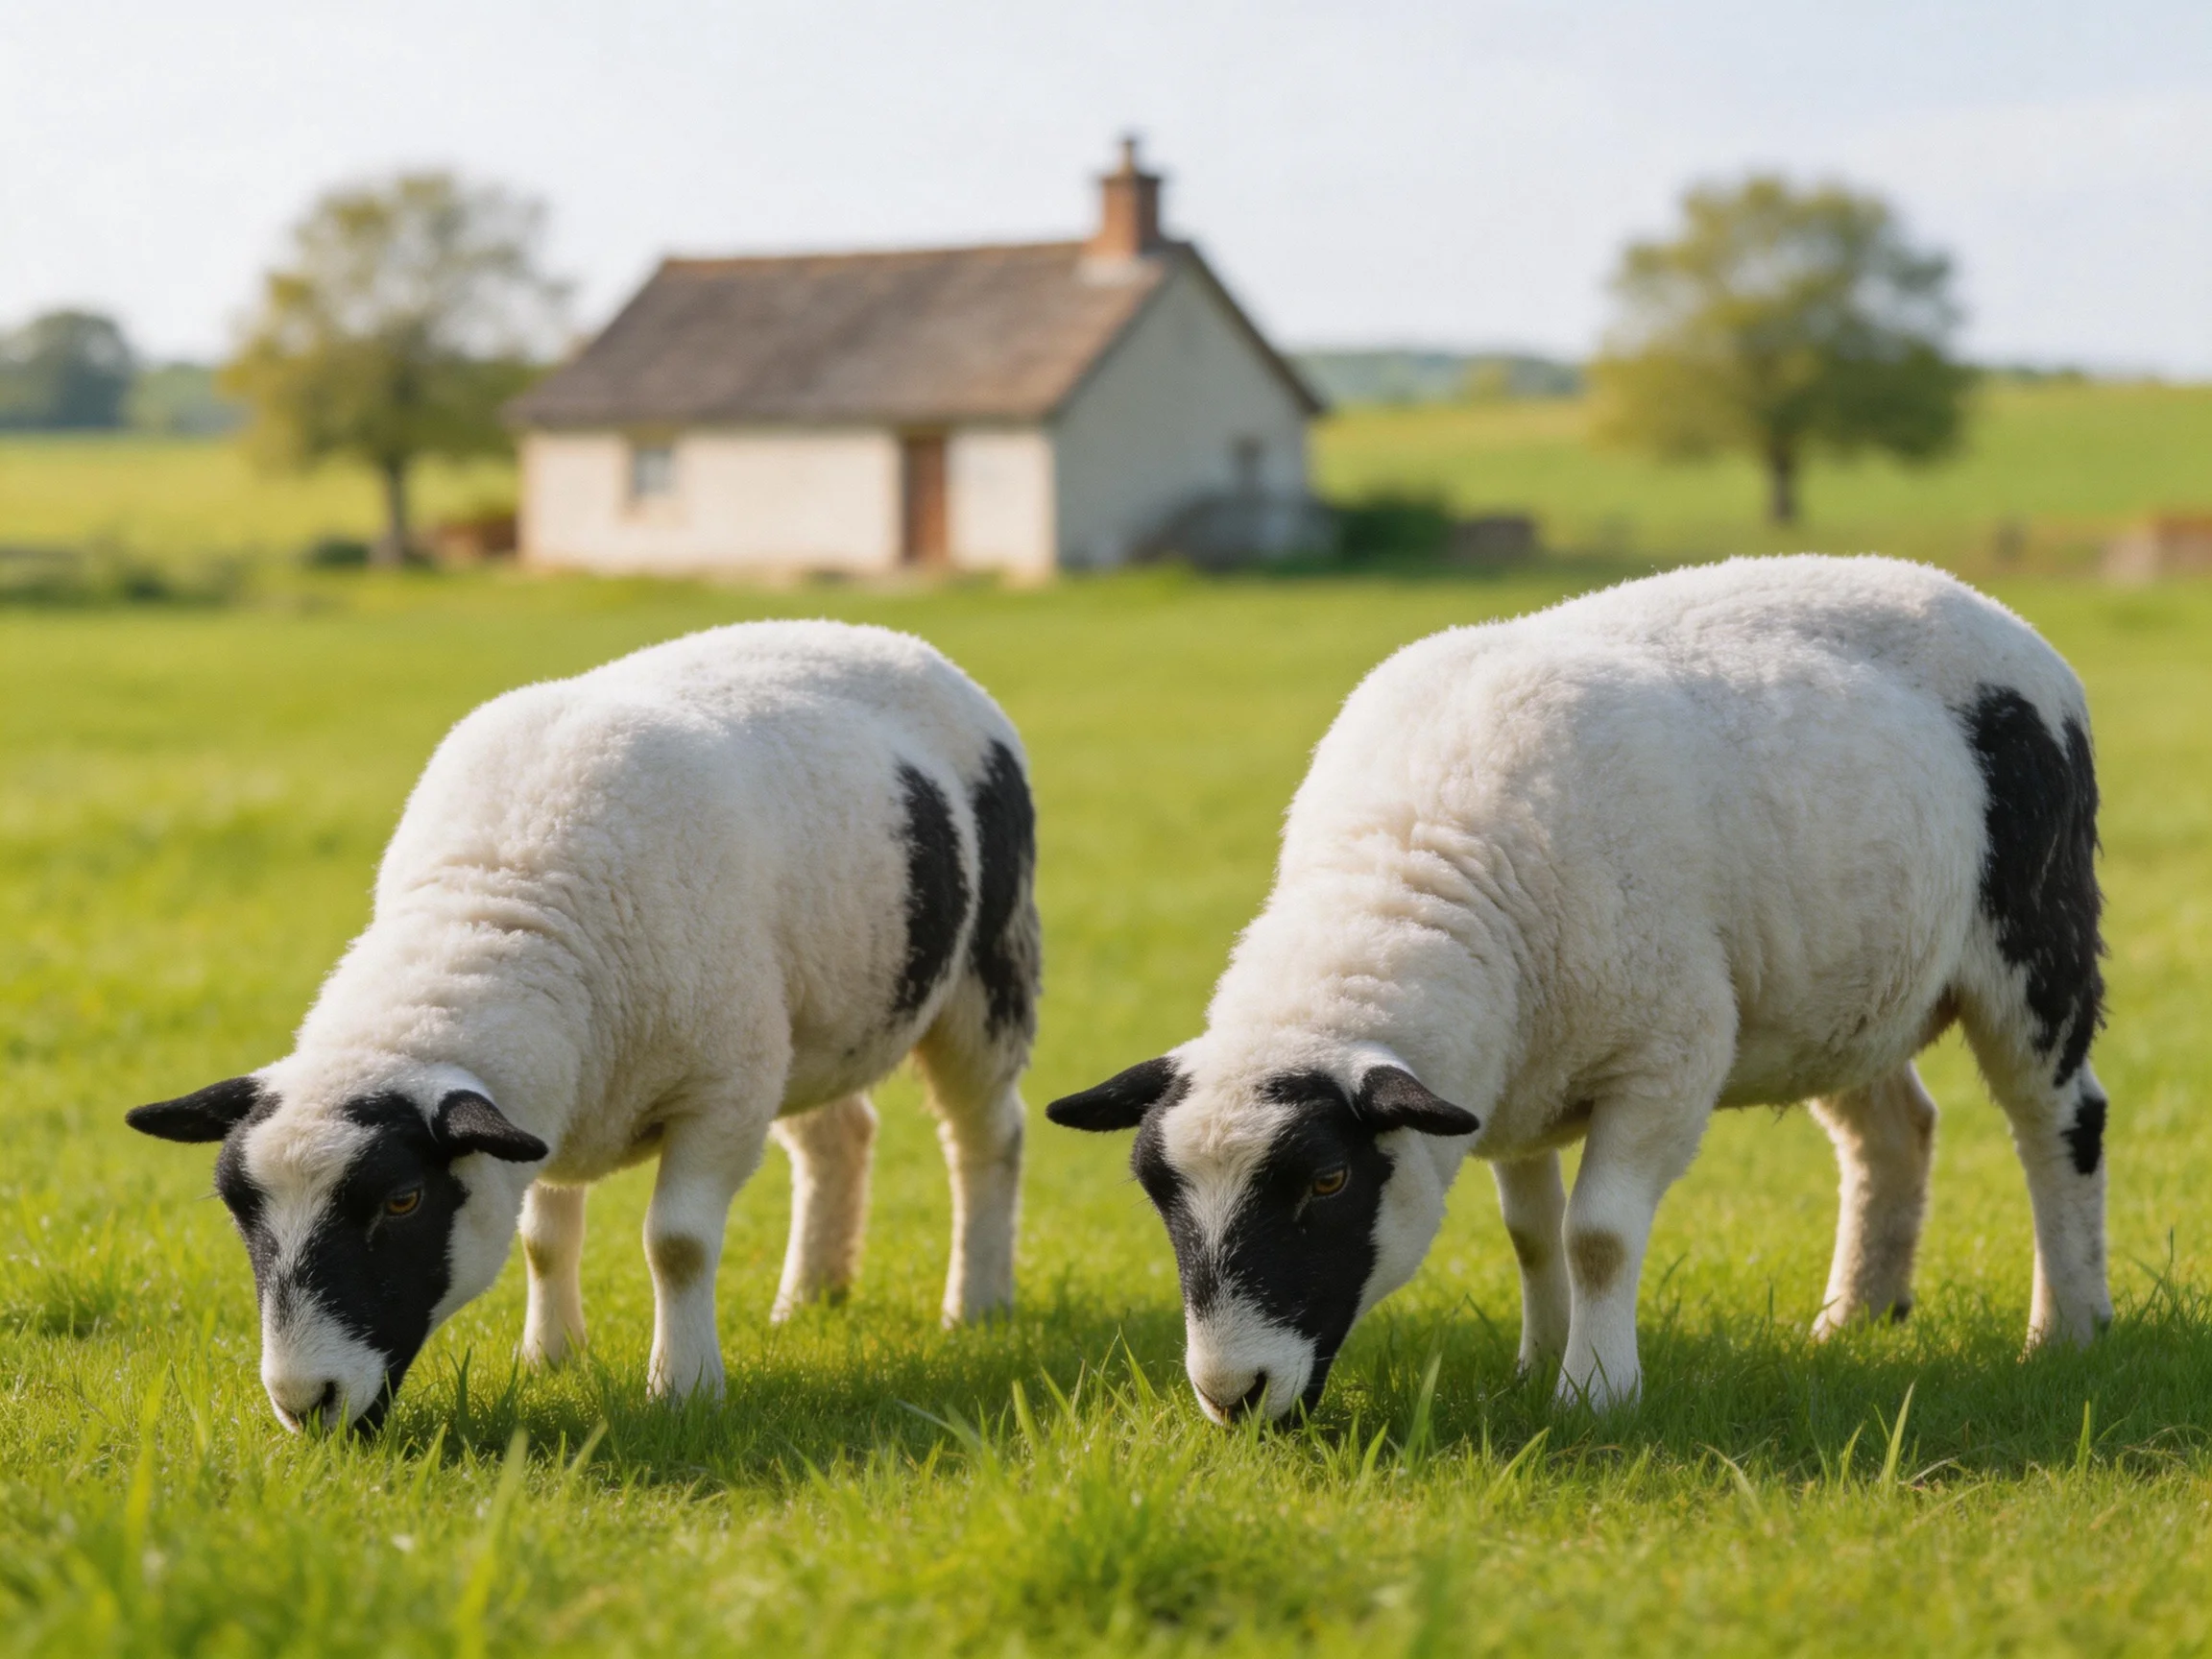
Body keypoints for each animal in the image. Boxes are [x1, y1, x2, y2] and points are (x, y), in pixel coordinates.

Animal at [126, 621, 1040, 1432]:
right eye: (238, 1209)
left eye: (402, 1200)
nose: (304, 1403)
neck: (498, 908)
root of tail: (888, 638)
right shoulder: (549, 1104)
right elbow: (542, 1238)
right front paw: (550, 1359)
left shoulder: (723, 1088)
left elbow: (677, 1244)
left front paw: (683, 1390)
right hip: (812, 1023)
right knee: (838, 1137)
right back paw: (810, 1296)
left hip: (987, 972)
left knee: (985, 1137)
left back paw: (976, 1304)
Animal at [1050, 555, 2110, 1419]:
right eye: (1157, 1192)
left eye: (1328, 1180)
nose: (1232, 1395)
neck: (1409, 873)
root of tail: (1993, 612)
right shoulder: (1507, 1084)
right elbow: (1532, 1235)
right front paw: (1538, 1365)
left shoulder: (1665, 1057)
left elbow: (1596, 1235)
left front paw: (1595, 1393)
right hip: (1834, 985)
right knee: (1892, 1132)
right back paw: (1853, 1317)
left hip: (2036, 936)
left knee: (2060, 1121)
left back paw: (2067, 1330)